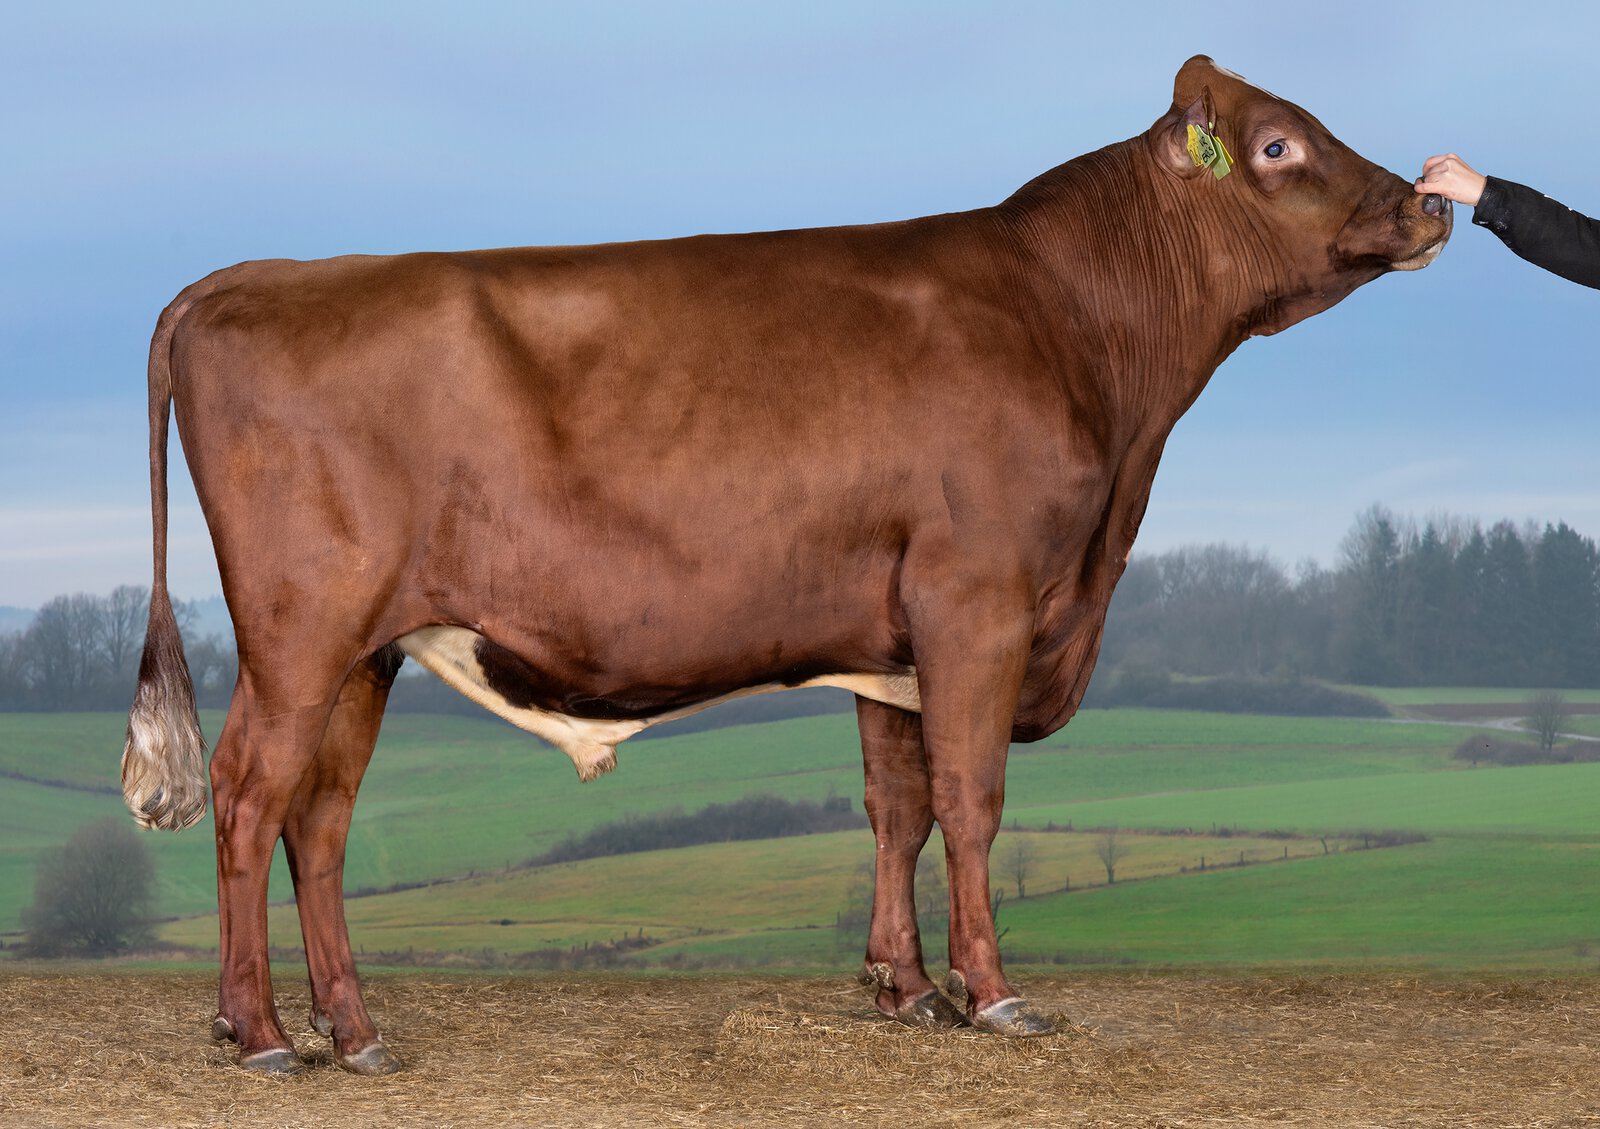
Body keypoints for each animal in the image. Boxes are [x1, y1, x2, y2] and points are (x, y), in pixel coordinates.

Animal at [122, 56, 1451, 1074]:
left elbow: (896, 806)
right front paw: (994, 993)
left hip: (371, 647)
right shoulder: (978, 597)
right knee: (249, 794)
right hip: (300, 631)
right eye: (1277, 144)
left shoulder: (893, 635)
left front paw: (905, 989)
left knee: (320, 818)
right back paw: (256, 1032)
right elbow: (972, 798)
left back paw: (353, 1032)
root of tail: (250, 277)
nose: (1429, 204)